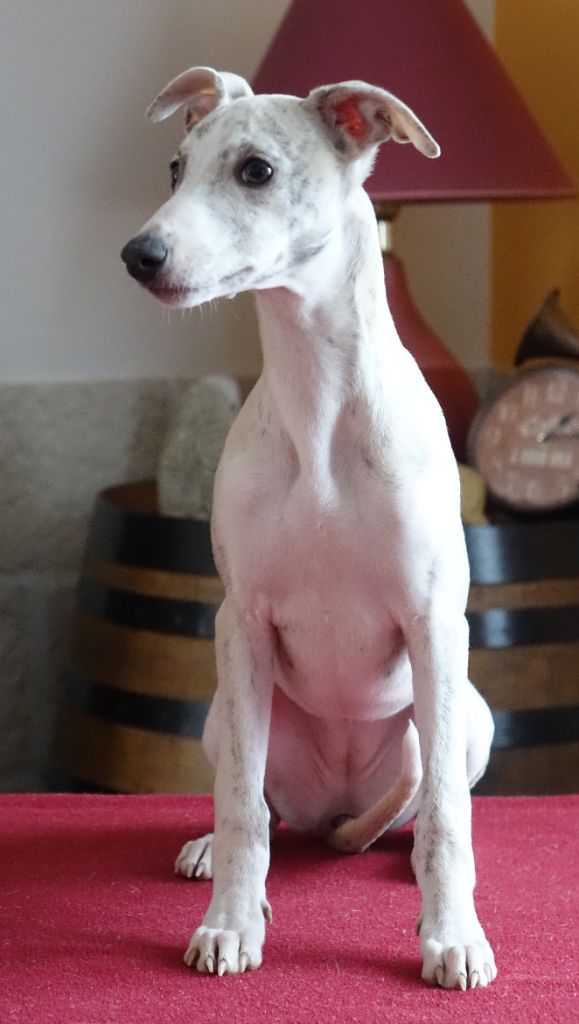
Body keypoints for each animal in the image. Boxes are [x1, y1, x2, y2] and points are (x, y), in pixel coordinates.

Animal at [121, 66, 497, 990]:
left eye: (255, 170)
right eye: (175, 167)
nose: (139, 255)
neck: (317, 406)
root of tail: (335, 807)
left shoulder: (434, 623)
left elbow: (446, 817)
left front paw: (451, 937)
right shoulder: (241, 620)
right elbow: (240, 813)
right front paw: (229, 923)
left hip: (465, 714)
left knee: (424, 804)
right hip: (227, 710)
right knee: (259, 802)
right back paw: (206, 853)